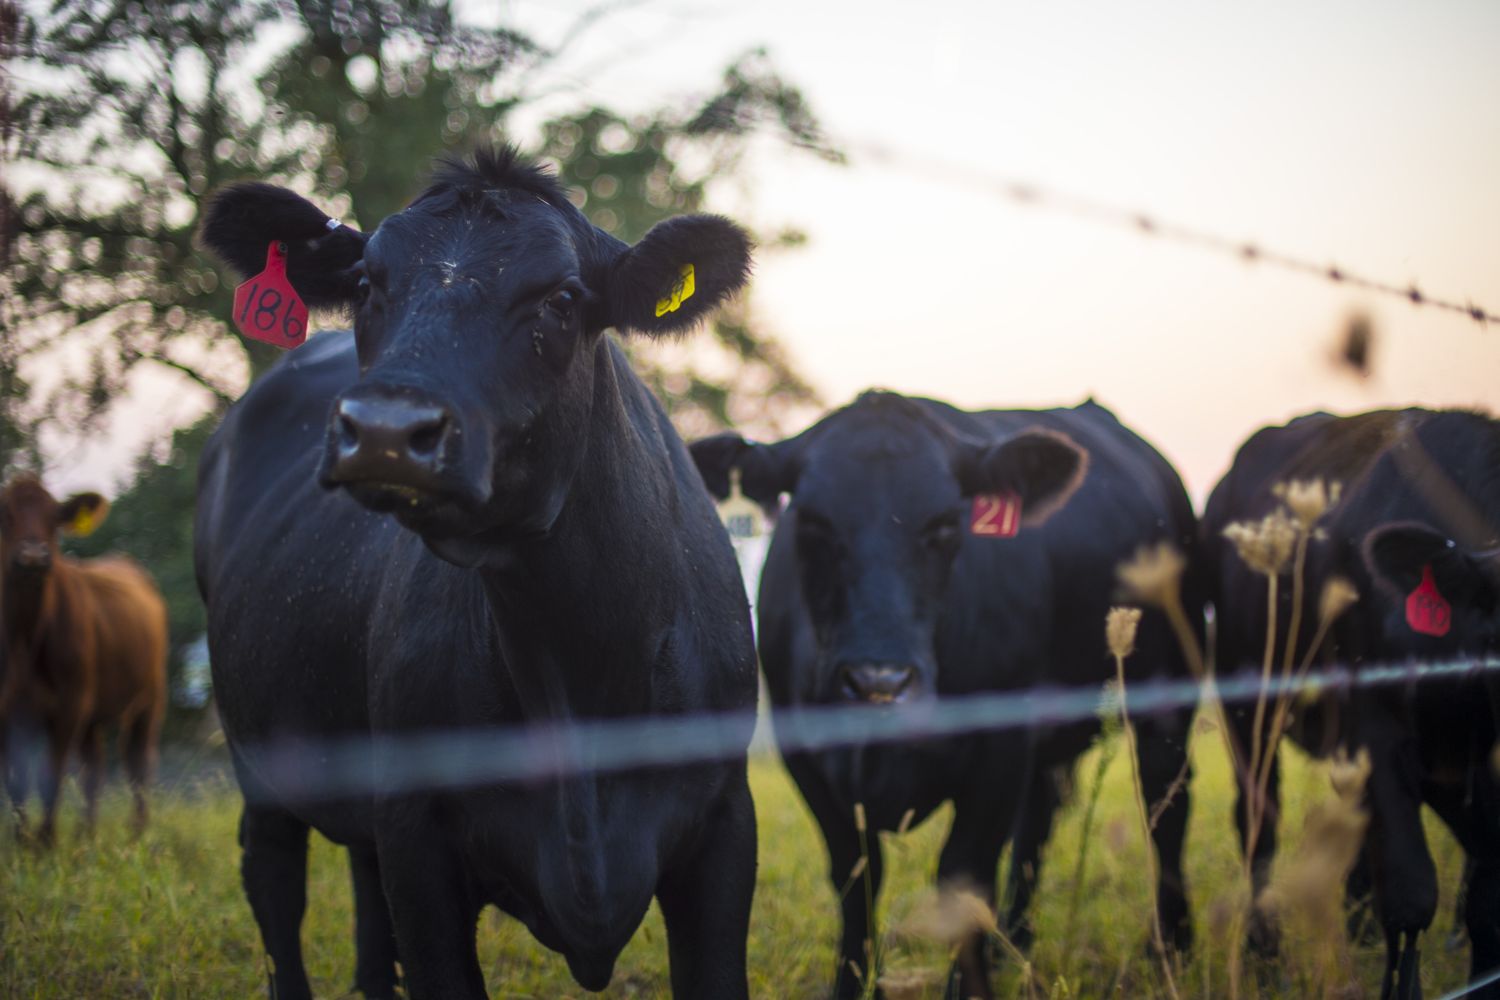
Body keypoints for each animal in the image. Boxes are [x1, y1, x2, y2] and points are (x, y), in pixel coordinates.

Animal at [0, 475, 167, 846]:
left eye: (54, 519)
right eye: (7, 515)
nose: (33, 556)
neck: (27, 639)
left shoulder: (69, 705)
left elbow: (50, 777)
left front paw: (45, 844)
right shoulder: (9, 712)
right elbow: (16, 783)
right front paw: (21, 842)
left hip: (149, 697)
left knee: (138, 764)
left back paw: (137, 837)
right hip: (94, 710)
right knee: (95, 769)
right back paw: (85, 837)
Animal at [193, 146, 760, 1000]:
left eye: (561, 299)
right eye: (367, 283)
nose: (385, 431)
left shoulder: (726, 820)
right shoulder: (418, 832)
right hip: (254, 750)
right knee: (275, 888)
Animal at [690, 392, 1202, 999]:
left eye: (942, 525)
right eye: (812, 522)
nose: (879, 682)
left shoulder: (999, 748)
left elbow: (964, 878)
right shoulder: (806, 754)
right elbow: (856, 875)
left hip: (1169, 691)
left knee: (1166, 802)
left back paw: (1170, 950)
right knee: (1039, 822)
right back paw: (1015, 946)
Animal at [1202, 408, 1500, 1000]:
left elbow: (1486, 890)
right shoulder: (1379, 730)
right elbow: (1412, 893)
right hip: (1248, 705)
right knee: (1258, 823)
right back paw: (1264, 959)